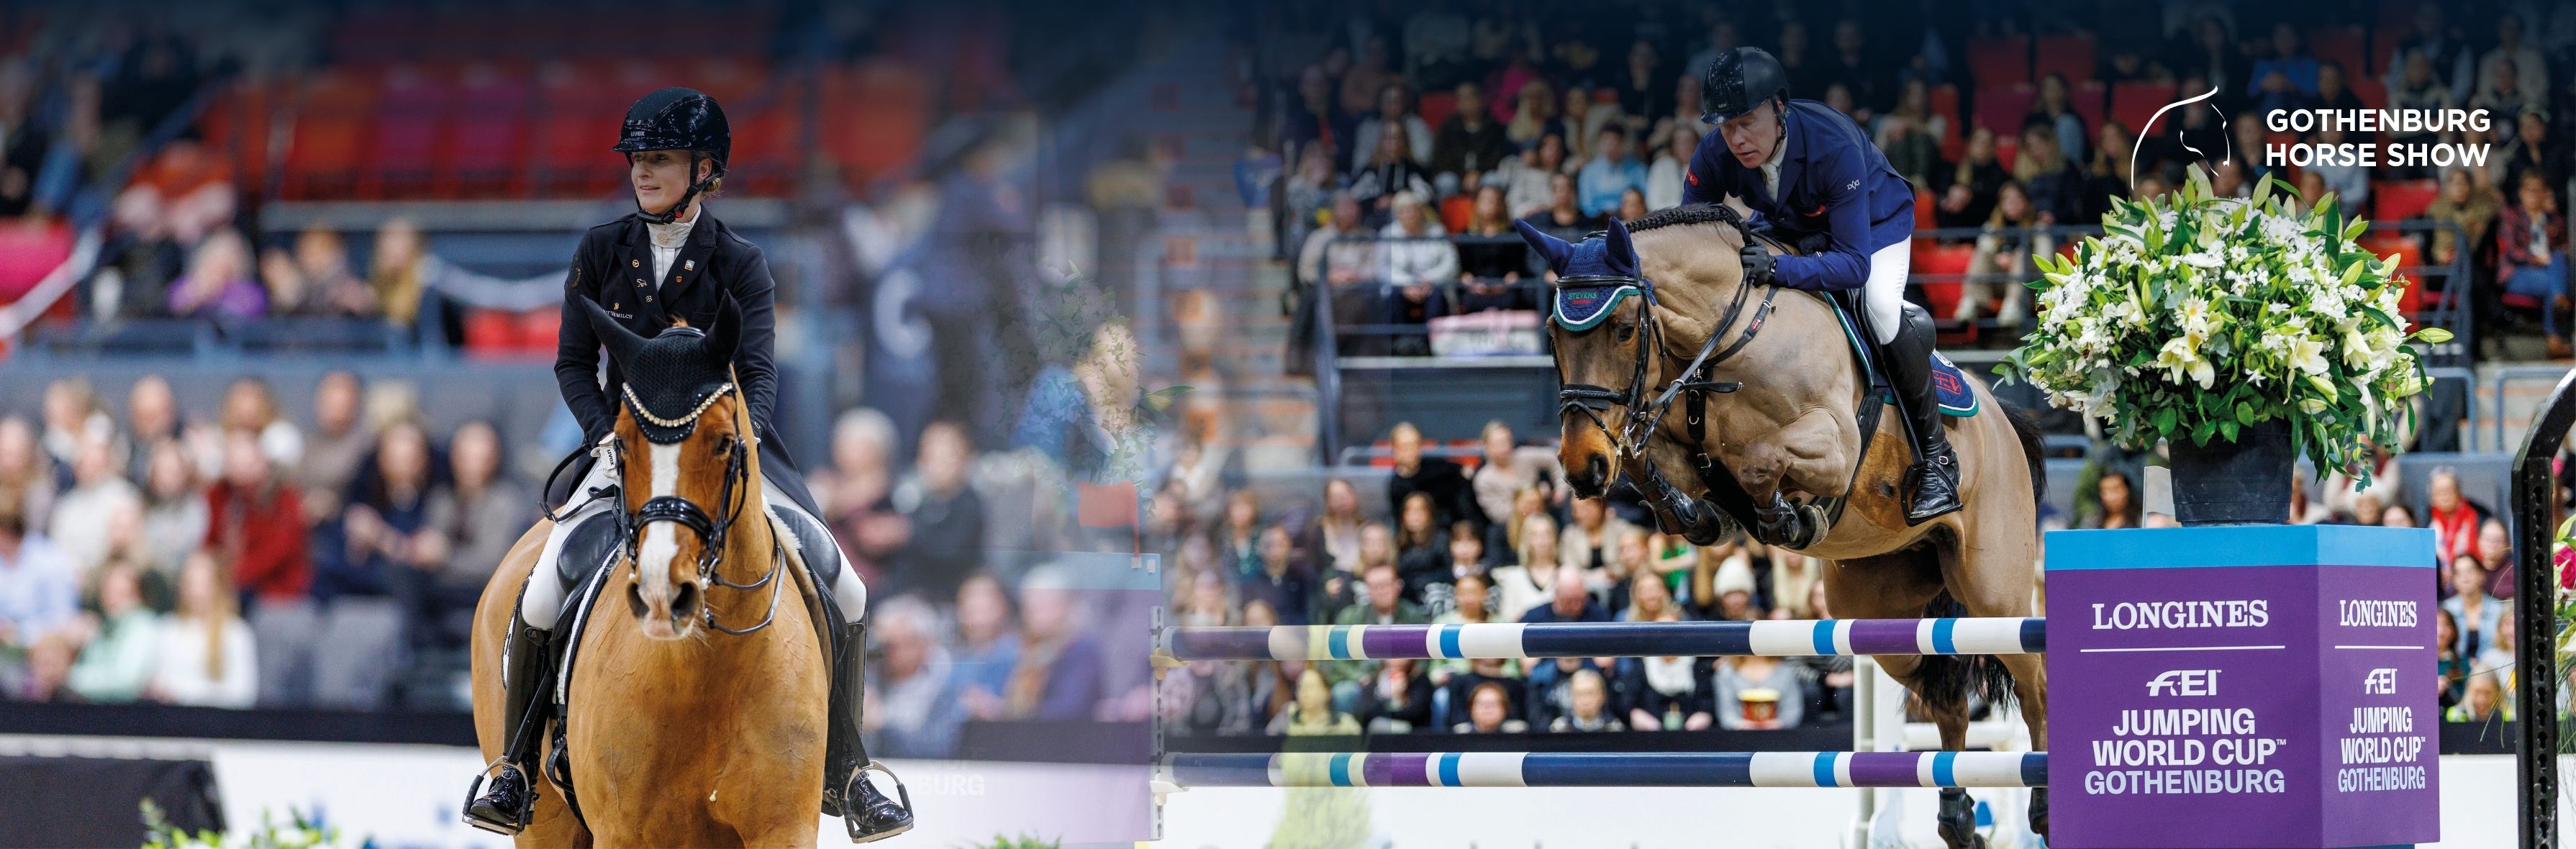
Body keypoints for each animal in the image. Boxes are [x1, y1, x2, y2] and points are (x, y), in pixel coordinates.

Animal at [471, 299, 828, 847]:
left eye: (725, 442)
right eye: (620, 444)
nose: (664, 594)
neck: (705, 667)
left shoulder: (783, 828)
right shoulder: (623, 833)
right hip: (545, 824)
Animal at [1519, 206, 2048, 847]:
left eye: (1622, 328)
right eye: (1553, 333)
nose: (1583, 467)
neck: (1726, 342)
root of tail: (2005, 419)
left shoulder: (1836, 446)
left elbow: (1760, 460)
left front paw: (1788, 519)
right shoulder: (1673, 436)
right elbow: (1653, 463)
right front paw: (1695, 516)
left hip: (1995, 592)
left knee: (2034, 686)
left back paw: (2044, 805)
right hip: (1881, 613)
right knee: (1946, 701)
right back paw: (1957, 820)